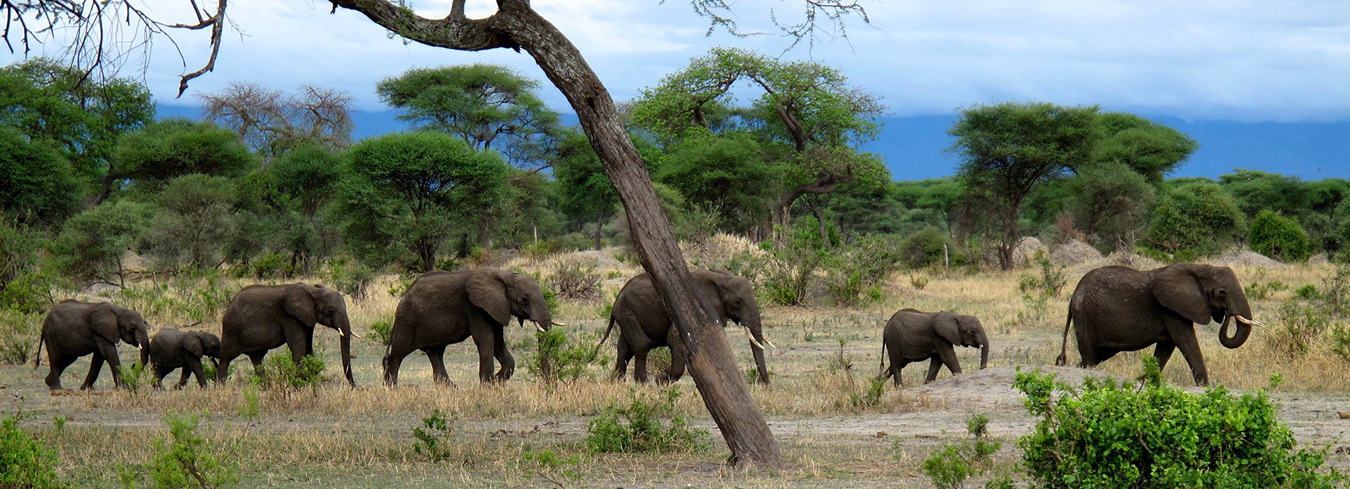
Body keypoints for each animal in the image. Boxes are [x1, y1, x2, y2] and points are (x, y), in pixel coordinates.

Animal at [217, 283, 355, 386]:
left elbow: (308, 349)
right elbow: (298, 348)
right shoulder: (289, 317)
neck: (313, 291)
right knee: (225, 358)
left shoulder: (307, 318)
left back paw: (265, 387)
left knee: (256, 358)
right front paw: (300, 385)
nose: (354, 387)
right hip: (231, 330)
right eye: (330, 310)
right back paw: (222, 387)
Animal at [383, 268, 560, 385]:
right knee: (398, 353)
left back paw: (451, 389)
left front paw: (494, 381)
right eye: (524, 299)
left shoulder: (495, 307)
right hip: (407, 319)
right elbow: (485, 339)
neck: (505, 275)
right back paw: (391, 388)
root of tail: (404, 295)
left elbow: (497, 342)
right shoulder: (474, 306)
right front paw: (488, 384)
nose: (549, 383)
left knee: (436, 353)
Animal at [596, 269, 774, 385]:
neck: (721, 279)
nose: (765, 384)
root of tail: (618, 296)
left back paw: (617, 382)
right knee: (641, 344)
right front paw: (660, 381)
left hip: (627, 315)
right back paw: (643, 383)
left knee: (624, 348)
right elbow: (674, 339)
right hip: (628, 313)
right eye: (738, 302)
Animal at [1055, 263, 1261, 385]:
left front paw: (1145, 380)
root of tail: (1073, 296)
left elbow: (1166, 347)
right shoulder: (1170, 308)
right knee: (1090, 355)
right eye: (1221, 293)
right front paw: (1204, 386)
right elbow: (1186, 341)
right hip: (1085, 314)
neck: (1201, 267)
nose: (1228, 314)